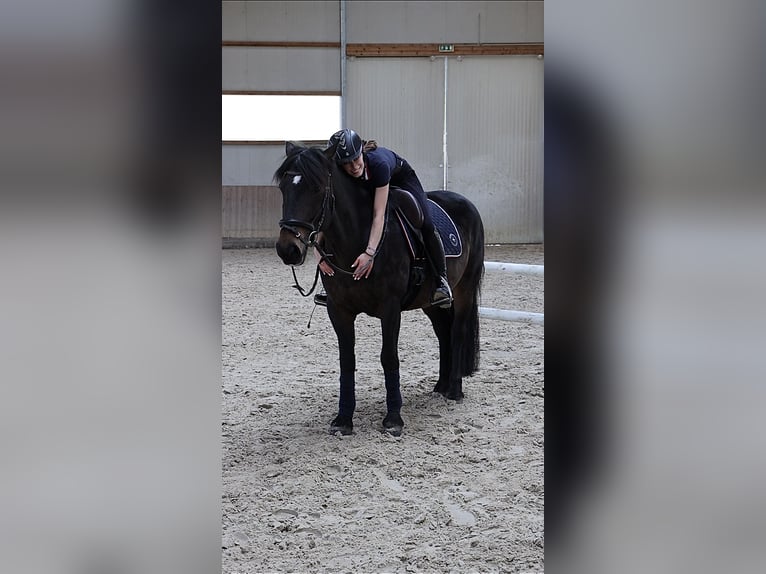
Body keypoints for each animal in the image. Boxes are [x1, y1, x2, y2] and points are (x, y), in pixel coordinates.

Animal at [272, 143, 484, 436]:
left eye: (316, 188)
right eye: (283, 188)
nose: (288, 249)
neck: (355, 240)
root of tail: (465, 203)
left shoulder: (390, 309)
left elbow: (389, 358)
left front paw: (393, 418)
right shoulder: (339, 310)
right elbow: (347, 360)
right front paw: (343, 419)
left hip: (464, 290)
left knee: (458, 331)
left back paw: (454, 390)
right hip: (429, 302)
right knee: (443, 332)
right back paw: (441, 386)